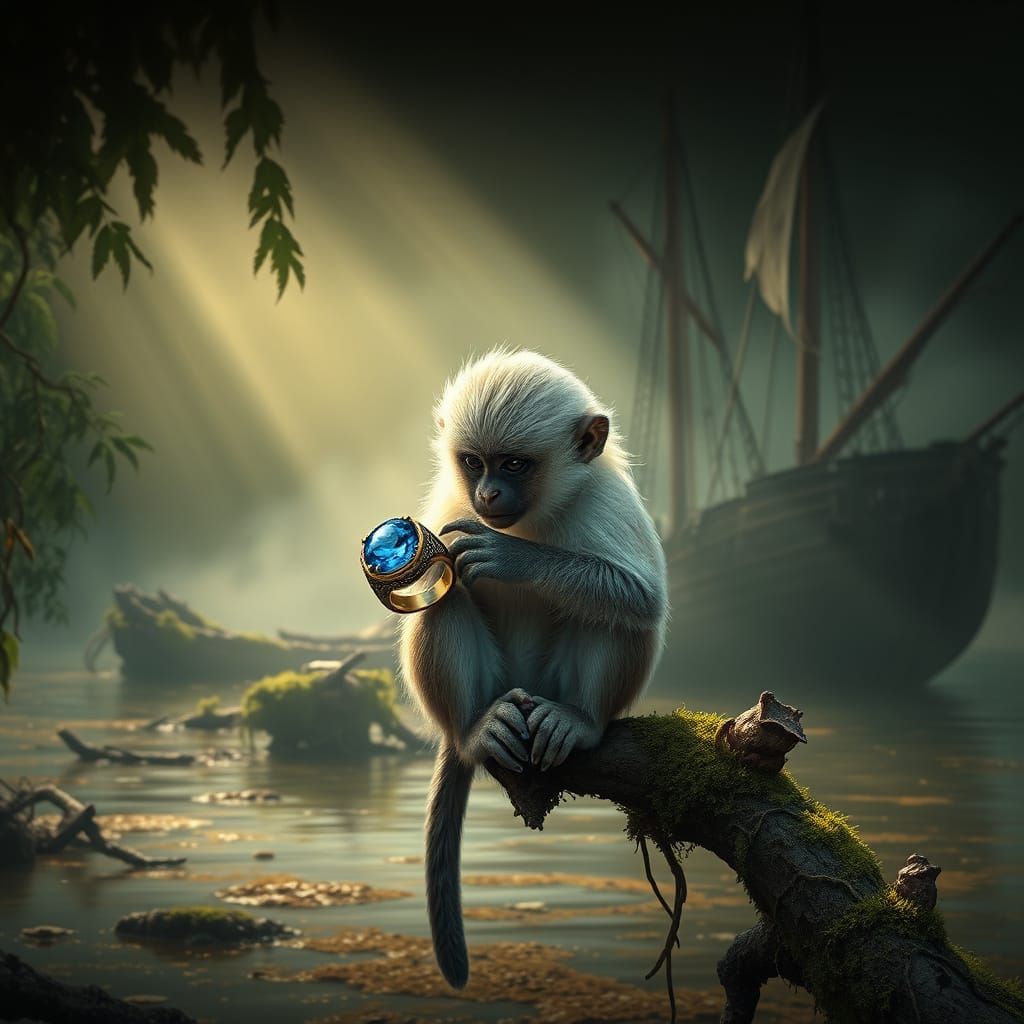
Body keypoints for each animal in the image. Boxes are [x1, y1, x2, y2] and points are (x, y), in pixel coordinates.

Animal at [397, 346, 669, 989]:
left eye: (515, 464)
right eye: (473, 462)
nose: (489, 495)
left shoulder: (608, 500)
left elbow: (643, 597)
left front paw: (515, 559)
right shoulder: (451, 511)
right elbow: (439, 574)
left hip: (547, 685)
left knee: (616, 616)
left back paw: (578, 721)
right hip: (496, 684)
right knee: (446, 599)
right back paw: (475, 730)